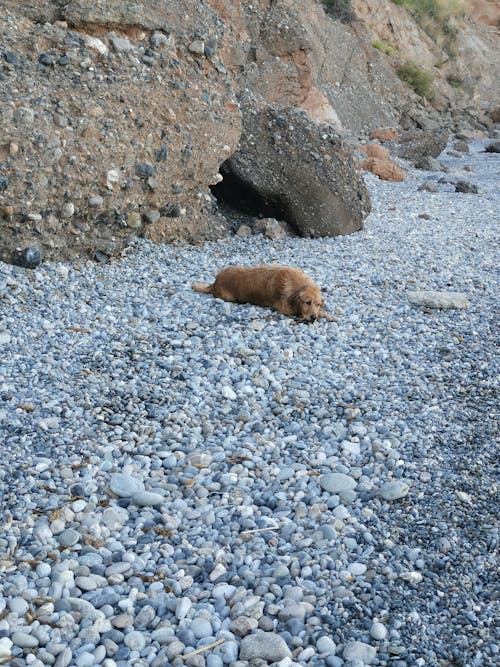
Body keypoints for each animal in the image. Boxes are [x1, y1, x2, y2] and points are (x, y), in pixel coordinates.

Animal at [193, 264, 334, 322]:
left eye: (318, 304)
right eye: (307, 302)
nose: (313, 317)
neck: (296, 284)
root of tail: (215, 281)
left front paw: (329, 316)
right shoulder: (283, 308)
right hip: (229, 297)